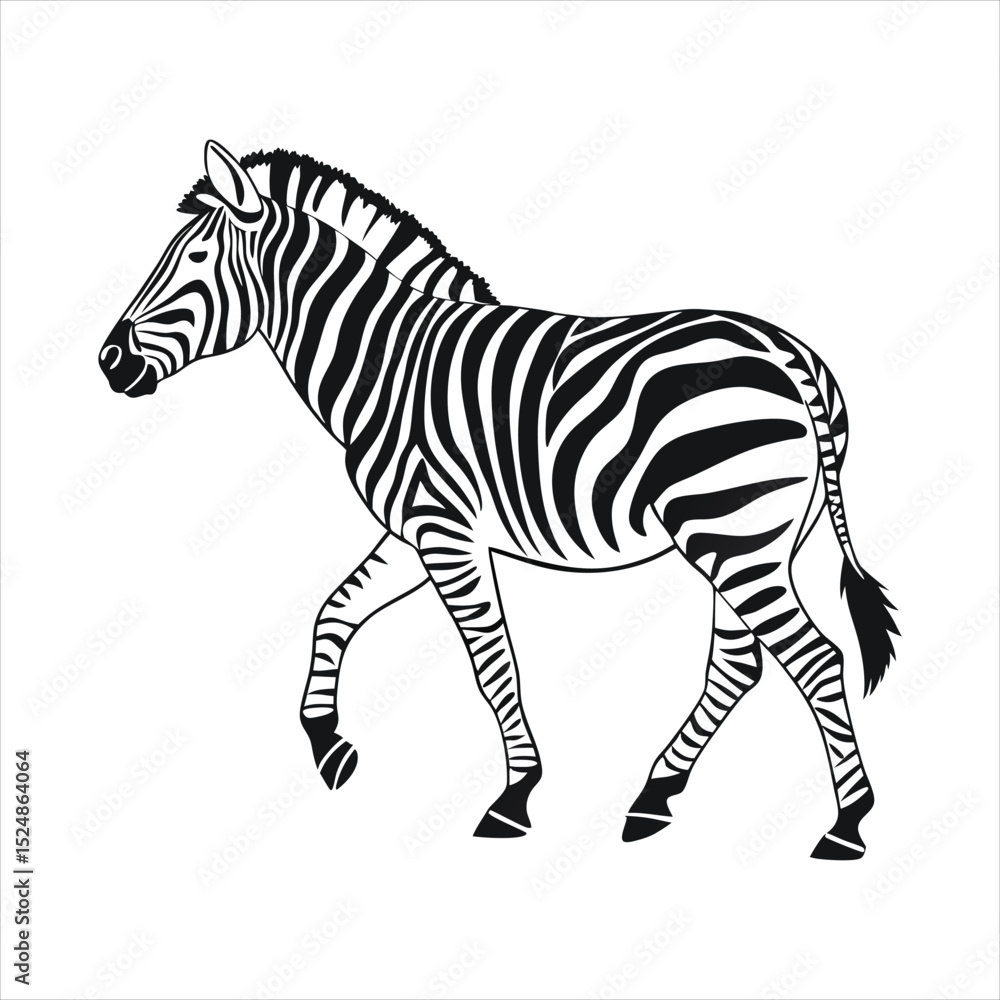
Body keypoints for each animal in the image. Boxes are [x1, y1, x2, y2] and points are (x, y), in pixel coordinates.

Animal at [99, 140, 899, 859]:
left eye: (192, 262)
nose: (109, 362)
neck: (385, 360)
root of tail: (791, 358)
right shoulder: (413, 531)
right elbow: (337, 610)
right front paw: (328, 742)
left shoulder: (444, 530)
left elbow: (492, 664)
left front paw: (515, 796)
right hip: (747, 539)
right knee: (739, 666)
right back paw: (654, 799)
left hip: (730, 532)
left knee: (815, 661)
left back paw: (847, 825)